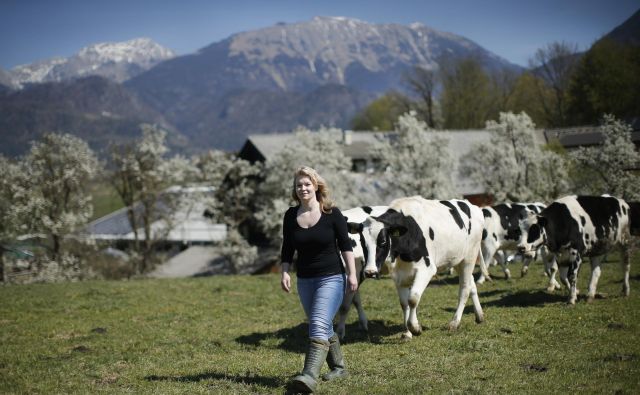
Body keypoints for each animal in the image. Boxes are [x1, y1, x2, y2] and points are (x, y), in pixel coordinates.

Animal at [370, 196, 484, 338]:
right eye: (362, 242)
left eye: (383, 241)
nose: (369, 271)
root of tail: (472, 205)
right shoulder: (399, 275)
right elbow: (404, 303)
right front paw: (407, 333)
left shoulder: (426, 269)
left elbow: (413, 299)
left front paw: (415, 328)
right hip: (458, 259)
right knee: (471, 283)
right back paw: (479, 315)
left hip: (469, 257)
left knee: (464, 288)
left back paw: (455, 322)